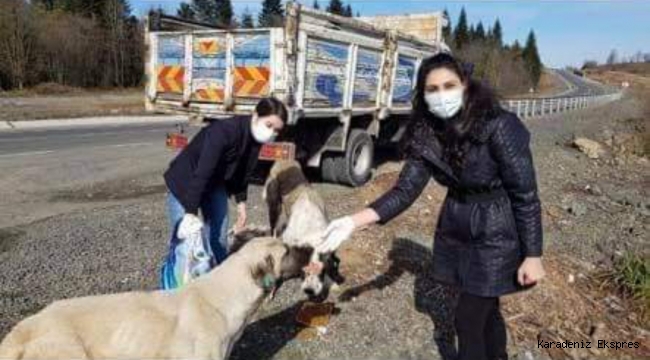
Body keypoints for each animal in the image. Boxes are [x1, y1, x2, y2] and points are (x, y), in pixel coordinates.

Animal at [262, 160, 344, 300]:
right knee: (273, 227)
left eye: (322, 272)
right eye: (305, 270)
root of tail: (283, 160)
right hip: (274, 206)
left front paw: (332, 282)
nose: (309, 291)